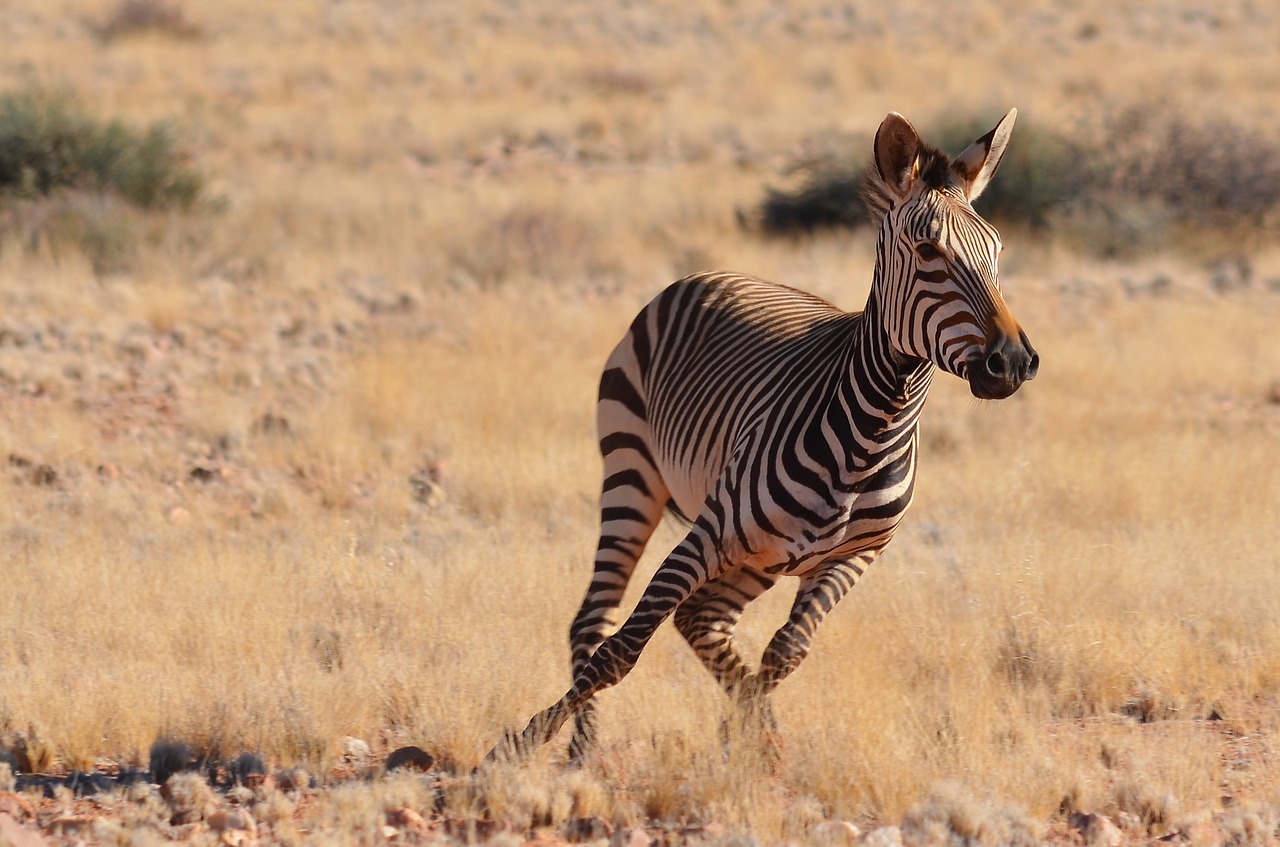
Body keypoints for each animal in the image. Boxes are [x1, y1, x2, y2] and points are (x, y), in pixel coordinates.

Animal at [483, 109, 1034, 767]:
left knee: (701, 621)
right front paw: (511, 750)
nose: (1014, 362)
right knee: (594, 622)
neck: (874, 429)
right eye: (928, 251)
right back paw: (582, 750)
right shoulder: (708, 534)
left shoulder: (853, 559)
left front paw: (749, 738)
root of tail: (714, 273)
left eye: (996, 251)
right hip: (631, 473)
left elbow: (786, 652)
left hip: (758, 557)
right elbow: (621, 651)